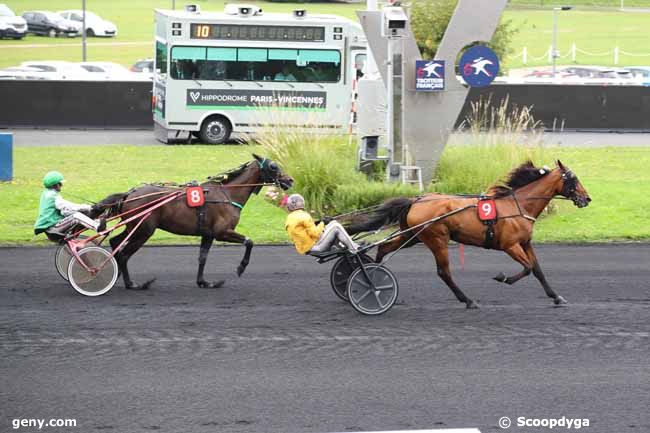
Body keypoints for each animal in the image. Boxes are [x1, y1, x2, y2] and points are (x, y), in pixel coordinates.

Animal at [91, 155, 292, 290]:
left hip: (134, 227)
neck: (227, 195)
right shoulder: (222, 232)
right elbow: (249, 242)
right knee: (124, 253)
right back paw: (132, 284)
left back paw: (116, 274)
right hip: (143, 230)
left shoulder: (208, 234)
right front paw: (241, 268)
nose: (290, 180)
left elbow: (202, 257)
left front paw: (204, 282)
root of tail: (129, 194)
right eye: (274, 166)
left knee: (115, 242)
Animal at [346, 159, 588, 308]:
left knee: (384, 248)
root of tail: (416, 199)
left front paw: (556, 297)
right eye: (573, 179)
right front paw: (503, 277)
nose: (587, 198)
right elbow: (527, 268)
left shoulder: (525, 243)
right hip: (436, 239)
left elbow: (537, 270)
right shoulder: (509, 245)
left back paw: (372, 276)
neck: (517, 206)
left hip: (411, 236)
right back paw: (468, 300)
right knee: (444, 272)